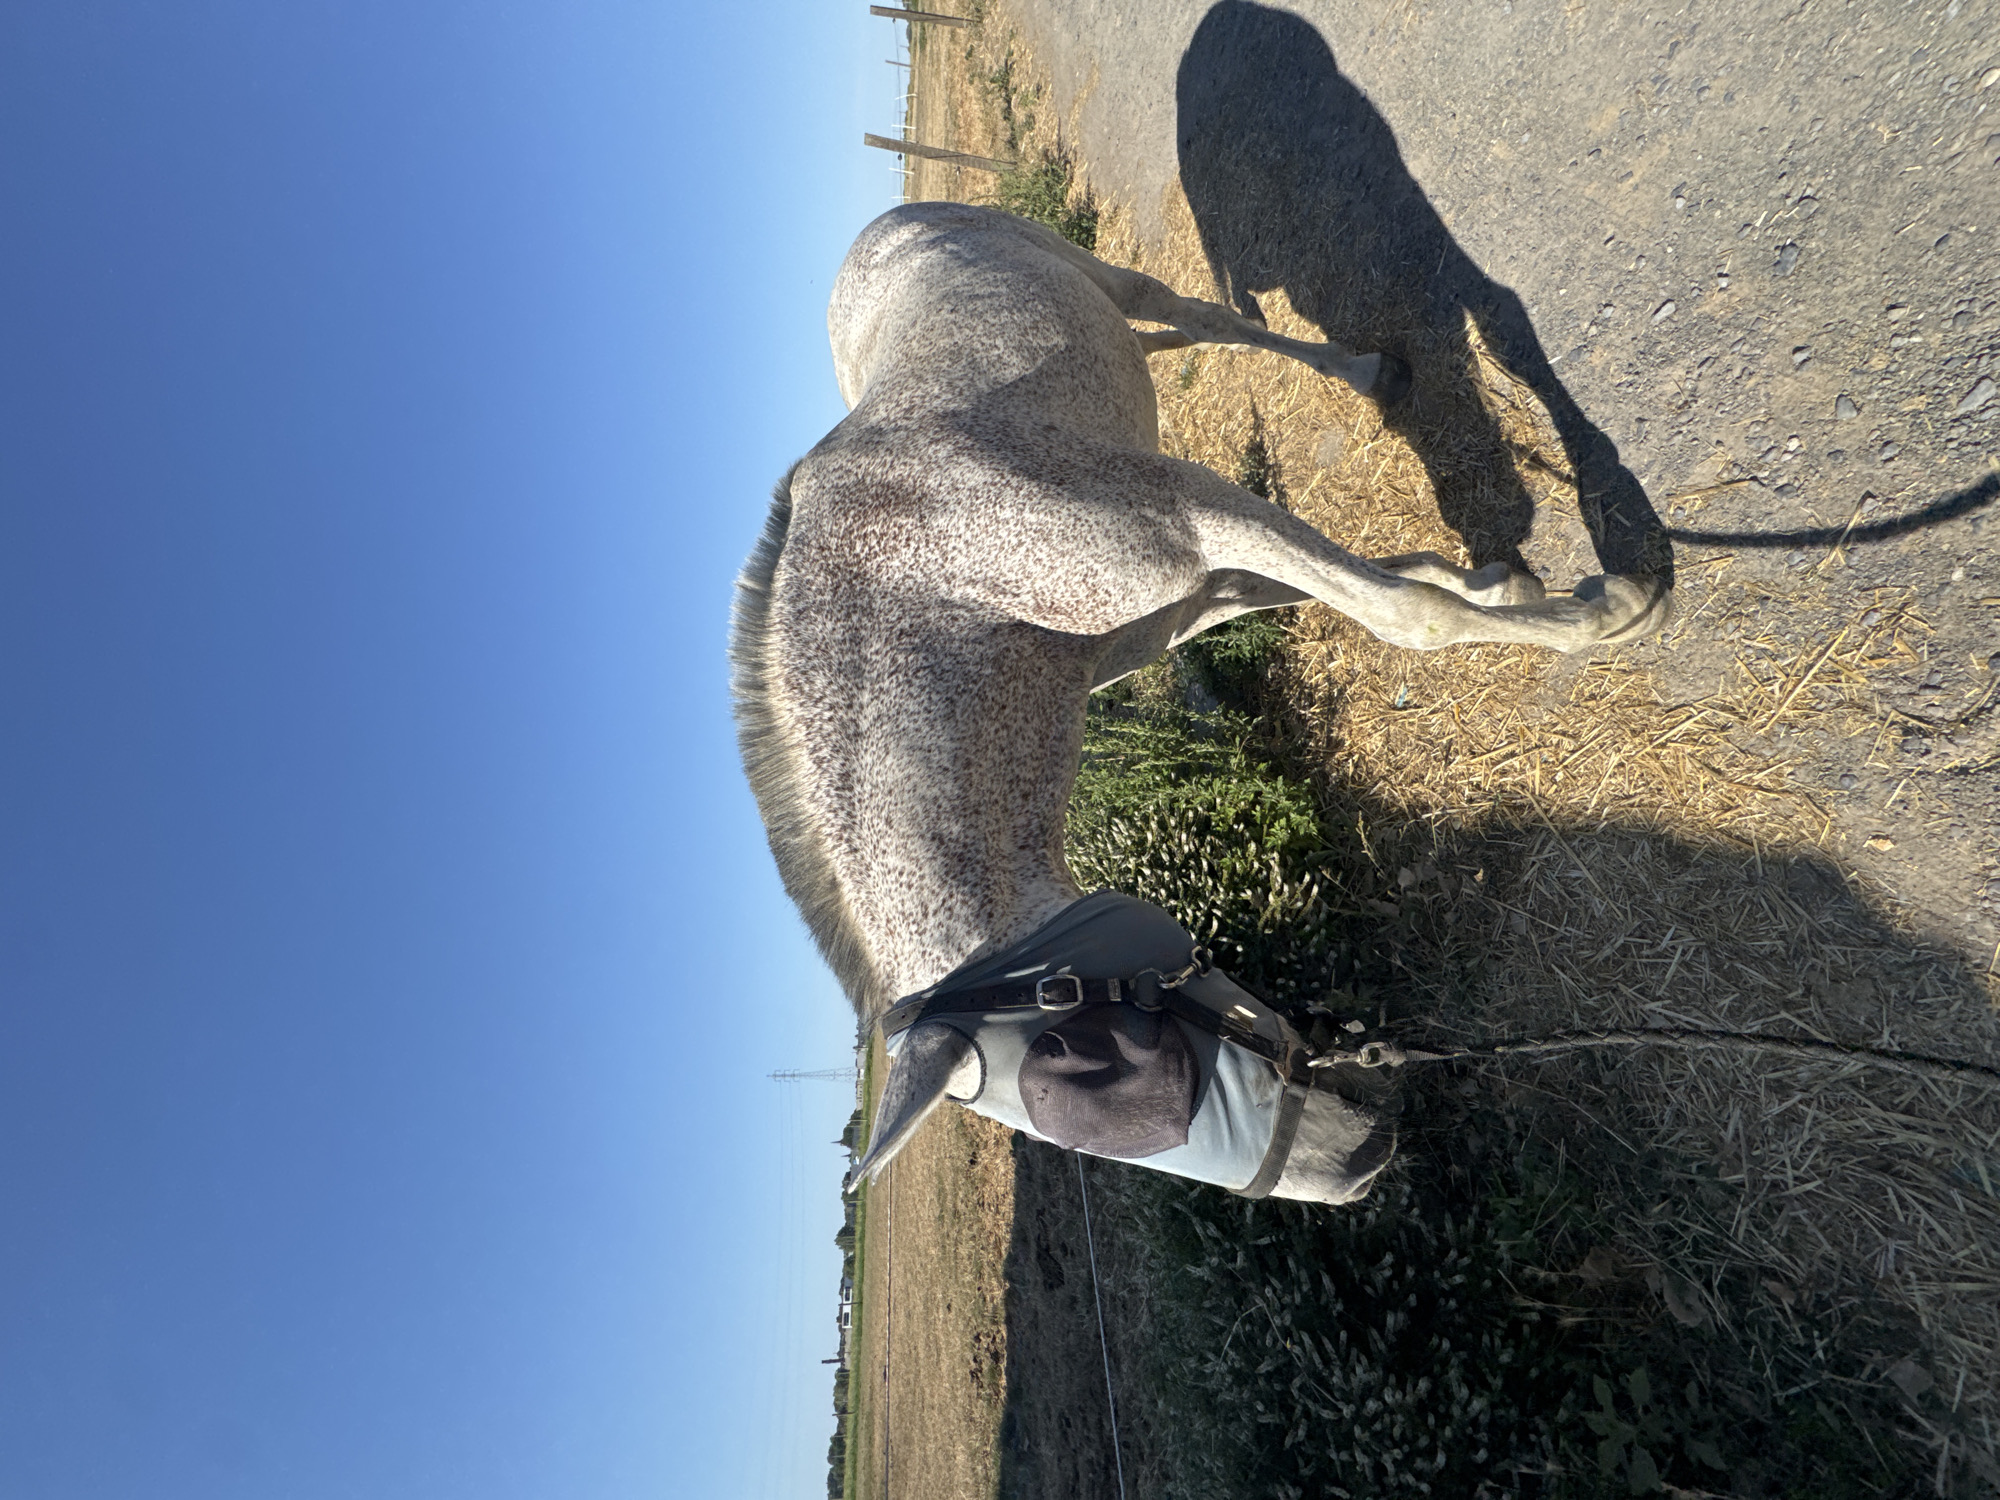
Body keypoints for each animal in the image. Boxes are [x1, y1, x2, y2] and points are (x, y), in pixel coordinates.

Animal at [731, 203, 1669, 1204]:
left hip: (1107, 280)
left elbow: (1399, 613)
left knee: (1202, 318)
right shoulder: (1181, 594)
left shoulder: (1189, 514)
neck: (940, 586)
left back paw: (1369, 372)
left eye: (1103, 1058)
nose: (1358, 1170)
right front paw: (1499, 584)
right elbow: (1337, 591)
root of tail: (883, 226)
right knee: (1178, 335)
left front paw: (1606, 612)